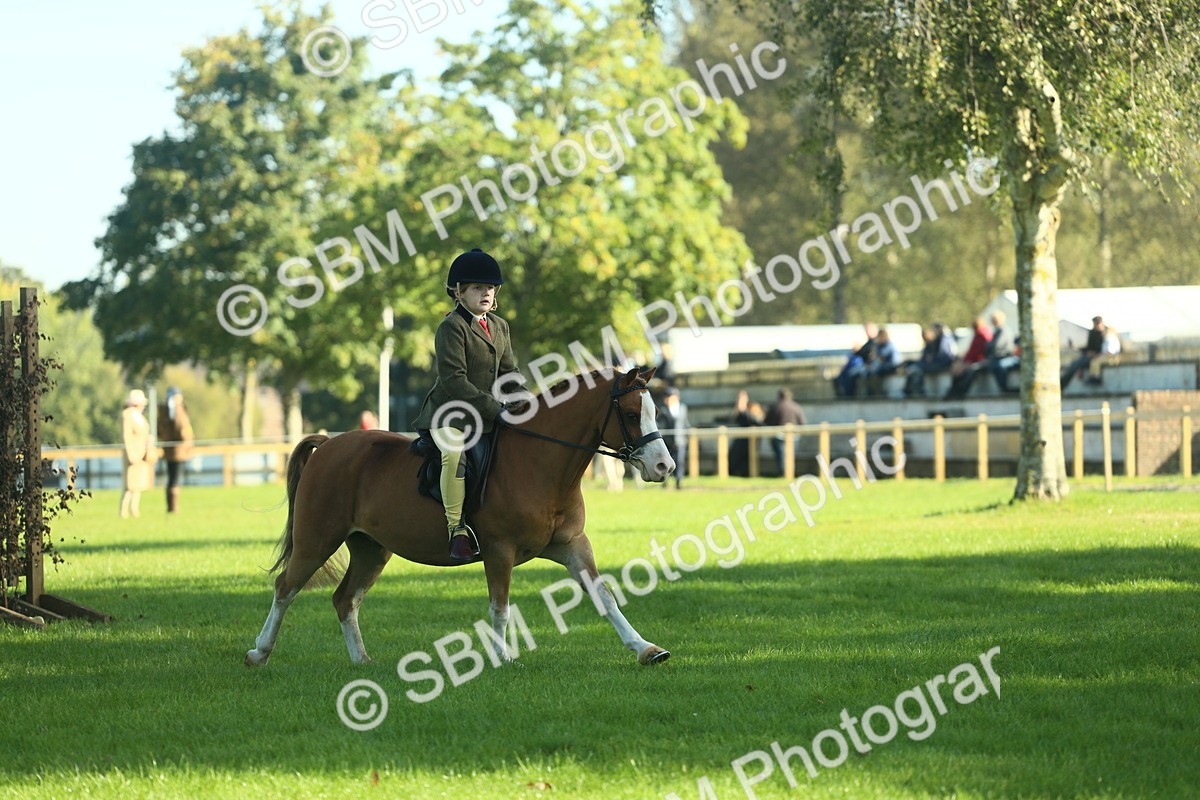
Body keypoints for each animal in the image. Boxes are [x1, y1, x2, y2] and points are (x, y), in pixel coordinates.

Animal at [244, 366, 676, 668]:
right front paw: (503, 658)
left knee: (345, 599)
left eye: (655, 411)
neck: (539, 462)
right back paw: (259, 652)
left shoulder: (572, 546)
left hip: (371, 549)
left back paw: (361, 660)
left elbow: (605, 597)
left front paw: (645, 649)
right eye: (632, 414)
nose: (665, 467)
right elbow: (500, 606)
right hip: (316, 539)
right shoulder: (500, 550)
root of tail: (330, 443)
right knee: (285, 588)